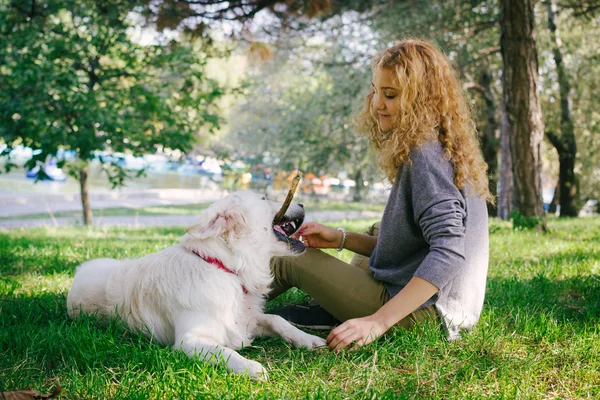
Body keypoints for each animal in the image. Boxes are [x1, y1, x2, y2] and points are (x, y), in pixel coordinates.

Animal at [66, 191, 326, 378]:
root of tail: (78, 273)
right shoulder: (190, 342)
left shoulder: (245, 322)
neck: (225, 267)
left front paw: (308, 339)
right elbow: (227, 352)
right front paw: (253, 367)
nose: (302, 203)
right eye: (263, 198)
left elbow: (276, 319)